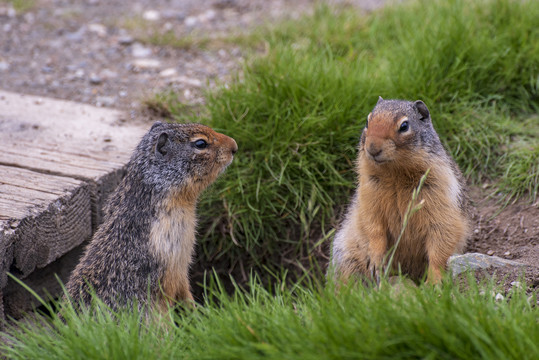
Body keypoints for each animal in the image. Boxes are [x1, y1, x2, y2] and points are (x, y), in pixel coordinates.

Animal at [326, 98, 470, 284]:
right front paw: (376, 262)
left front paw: (434, 281)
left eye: (404, 126)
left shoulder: (441, 197)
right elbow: (373, 228)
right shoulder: (368, 195)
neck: (395, 173)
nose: (372, 148)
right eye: (367, 121)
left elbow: (441, 241)